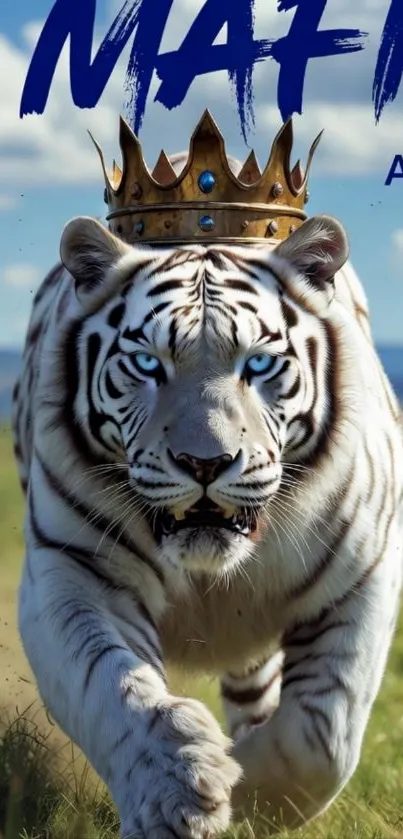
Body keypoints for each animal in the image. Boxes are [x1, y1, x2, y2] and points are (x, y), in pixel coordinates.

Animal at [12, 148, 403, 839]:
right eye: (147, 364)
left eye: (258, 364)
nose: (205, 461)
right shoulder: (71, 573)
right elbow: (112, 688)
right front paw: (179, 793)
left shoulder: (365, 574)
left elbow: (324, 733)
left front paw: (255, 795)